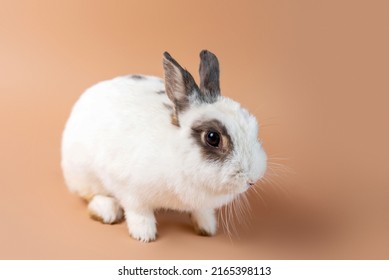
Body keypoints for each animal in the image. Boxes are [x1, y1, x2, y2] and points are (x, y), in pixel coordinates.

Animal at [61, 50, 266, 243]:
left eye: (253, 126)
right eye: (212, 137)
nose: (252, 180)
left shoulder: (200, 204)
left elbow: (202, 211)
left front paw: (207, 228)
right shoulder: (130, 191)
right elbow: (139, 213)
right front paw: (144, 235)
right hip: (83, 173)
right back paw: (107, 211)